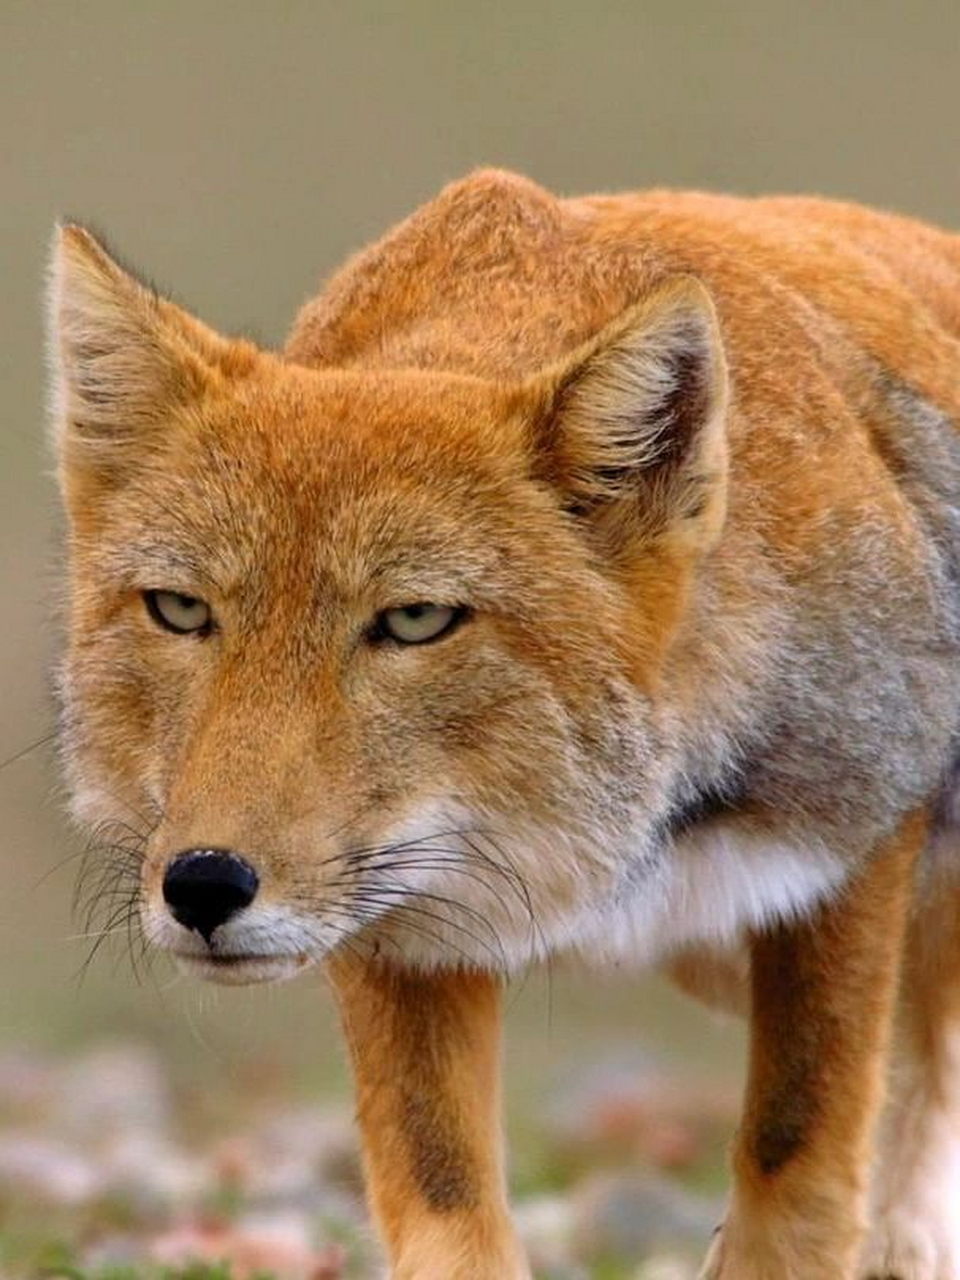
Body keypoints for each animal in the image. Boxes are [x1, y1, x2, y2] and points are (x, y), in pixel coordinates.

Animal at [46, 168, 960, 1279]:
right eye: (181, 610)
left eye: (413, 620)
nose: (205, 885)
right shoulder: (404, 938)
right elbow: (443, 1198)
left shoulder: (852, 853)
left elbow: (798, 1168)